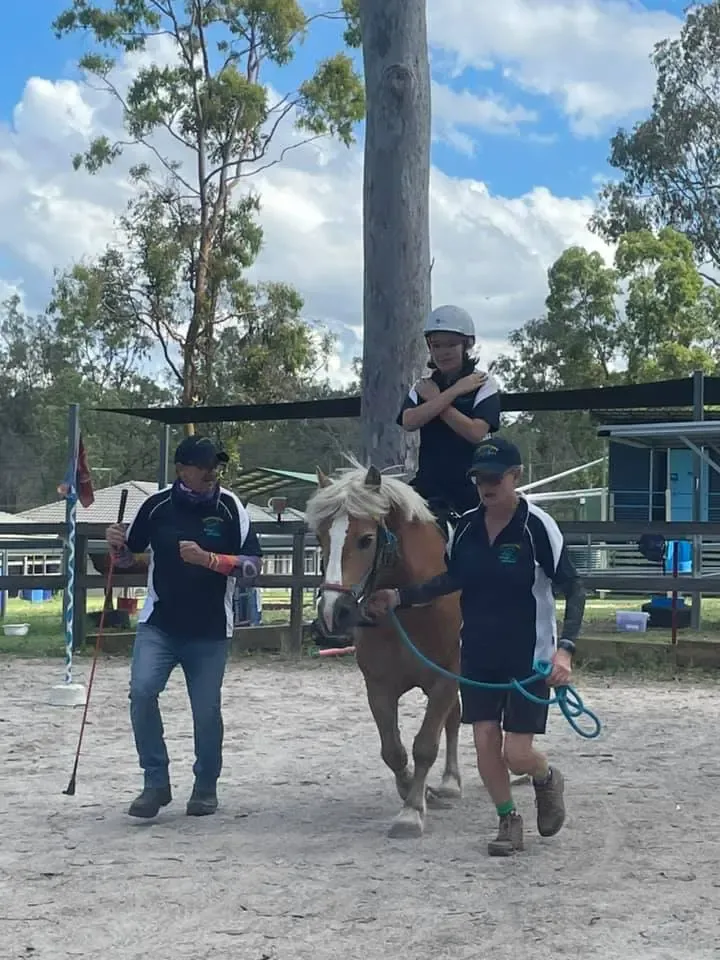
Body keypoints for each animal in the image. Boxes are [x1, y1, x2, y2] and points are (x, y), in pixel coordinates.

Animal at [304, 458, 463, 838]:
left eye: (366, 539)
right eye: (320, 538)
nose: (334, 612)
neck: (406, 603)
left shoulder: (445, 678)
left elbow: (425, 745)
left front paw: (411, 812)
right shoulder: (379, 687)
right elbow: (393, 751)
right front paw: (416, 794)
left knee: (455, 720)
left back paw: (452, 781)